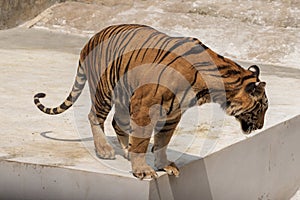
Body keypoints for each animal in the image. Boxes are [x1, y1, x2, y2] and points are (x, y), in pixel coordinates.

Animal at [34, 23, 268, 180]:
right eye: (262, 108)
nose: (261, 126)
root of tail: (90, 39)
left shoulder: (173, 113)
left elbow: (163, 140)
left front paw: (163, 165)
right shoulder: (145, 106)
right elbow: (142, 139)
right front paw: (143, 171)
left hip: (124, 95)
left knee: (117, 122)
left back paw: (126, 150)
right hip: (105, 90)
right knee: (94, 116)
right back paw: (105, 150)